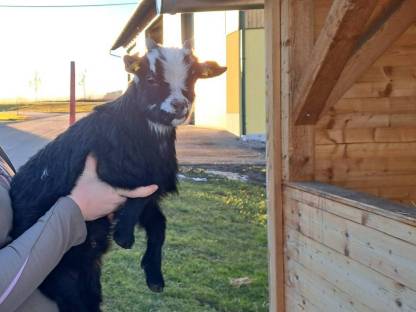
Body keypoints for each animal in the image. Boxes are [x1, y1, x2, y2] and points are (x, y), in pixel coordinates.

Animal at [9, 39, 226, 312]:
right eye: (151, 78)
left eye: (194, 77)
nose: (179, 106)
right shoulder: (111, 172)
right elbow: (141, 193)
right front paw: (124, 237)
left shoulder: (152, 190)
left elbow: (158, 222)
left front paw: (155, 277)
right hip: (60, 273)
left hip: (88, 274)